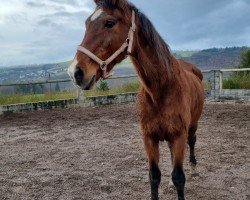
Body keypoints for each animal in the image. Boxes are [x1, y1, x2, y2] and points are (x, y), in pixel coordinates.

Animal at [67, 0, 204, 199]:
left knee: (192, 141)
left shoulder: (179, 135)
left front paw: (180, 178)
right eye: (86, 23)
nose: (75, 72)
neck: (161, 90)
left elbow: (179, 177)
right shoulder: (149, 137)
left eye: (109, 23)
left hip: (193, 124)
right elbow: (154, 176)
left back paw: (194, 169)